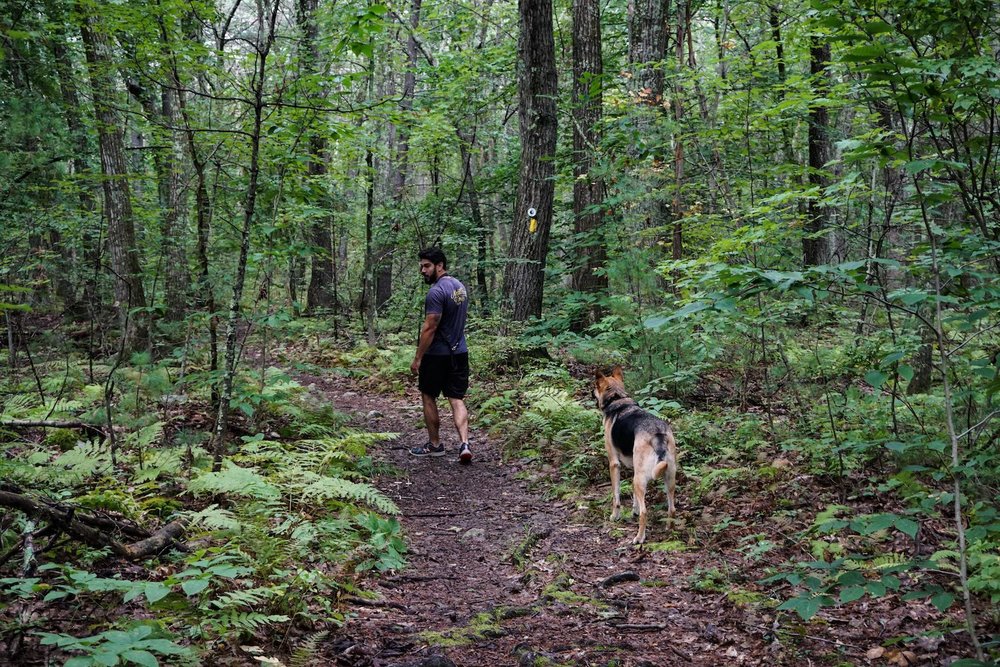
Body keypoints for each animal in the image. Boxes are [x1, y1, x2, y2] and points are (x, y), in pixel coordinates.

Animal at [592, 368, 680, 544]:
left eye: (595, 386)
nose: (591, 392)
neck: (617, 398)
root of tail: (657, 434)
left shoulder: (614, 464)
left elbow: (616, 497)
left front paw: (615, 516)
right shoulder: (634, 467)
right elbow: (634, 498)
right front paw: (634, 510)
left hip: (640, 479)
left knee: (646, 512)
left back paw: (639, 537)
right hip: (668, 476)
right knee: (672, 508)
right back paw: (669, 530)